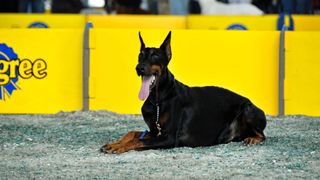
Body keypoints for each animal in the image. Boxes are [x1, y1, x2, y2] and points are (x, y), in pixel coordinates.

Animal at [101, 31, 266, 154]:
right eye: (140, 55)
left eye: (155, 56)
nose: (139, 68)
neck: (158, 99)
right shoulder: (155, 131)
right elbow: (132, 133)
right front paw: (114, 144)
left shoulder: (169, 137)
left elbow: (138, 139)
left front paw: (118, 147)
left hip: (247, 109)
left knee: (262, 135)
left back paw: (253, 139)